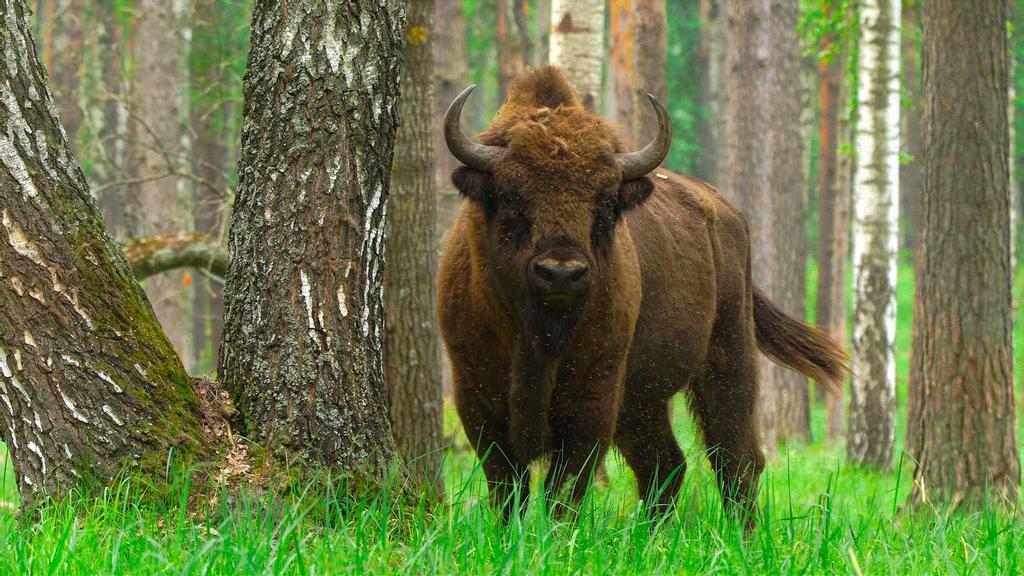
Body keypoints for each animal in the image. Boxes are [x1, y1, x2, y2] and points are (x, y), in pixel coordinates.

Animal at [437, 67, 846, 524]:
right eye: (510, 196)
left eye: (606, 201)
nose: (561, 273)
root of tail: (726, 212)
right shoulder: (476, 397)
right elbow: (507, 485)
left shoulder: (593, 400)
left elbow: (565, 488)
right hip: (643, 399)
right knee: (665, 464)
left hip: (728, 358)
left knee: (735, 458)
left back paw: (744, 533)